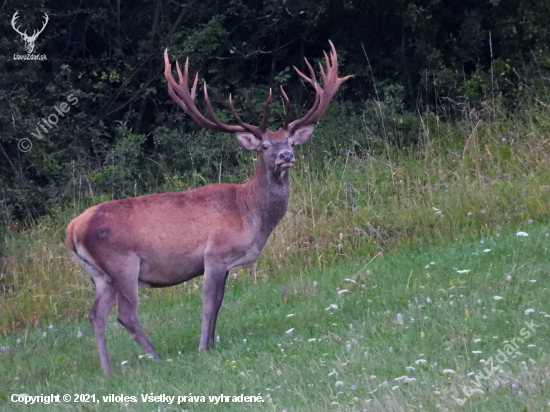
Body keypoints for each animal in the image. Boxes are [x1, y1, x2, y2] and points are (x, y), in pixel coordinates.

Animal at [66, 40, 354, 372]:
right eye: (265, 145)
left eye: (291, 143)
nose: (286, 156)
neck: (250, 213)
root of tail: (72, 229)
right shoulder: (215, 253)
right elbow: (207, 303)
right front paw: (203, 347)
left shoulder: (227, 262)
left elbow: (219, 303)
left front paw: (213, 343)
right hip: (122, 262)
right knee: (126, 315)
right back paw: (157, 357)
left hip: (100, 275)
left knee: (95, 315)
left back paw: (107, 370)